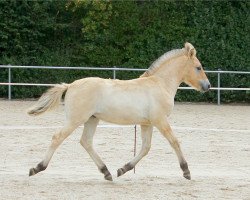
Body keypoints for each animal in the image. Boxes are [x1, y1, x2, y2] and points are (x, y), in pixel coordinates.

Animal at [28, 42, 210, 181]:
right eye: (198, 67)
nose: (207, 86)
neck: (160, 84)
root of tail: (71, 85)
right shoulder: (160, 120)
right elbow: (174, 142)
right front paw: (186, 171)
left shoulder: (147, 123)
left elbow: (145, 148)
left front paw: (123, 169)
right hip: (75, 120)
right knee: (57, 137)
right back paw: (37, 168)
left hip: (92, 119)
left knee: (86, 142)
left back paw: (106, 172)